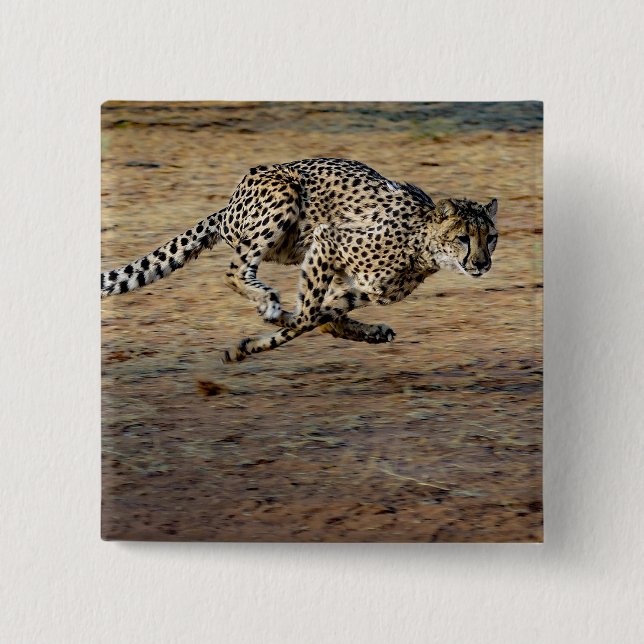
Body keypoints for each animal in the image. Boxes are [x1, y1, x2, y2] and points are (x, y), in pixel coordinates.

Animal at [101, 158, 498, 362]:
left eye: (490, 238)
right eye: (464, 237)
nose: (482, 264)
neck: (423, 244)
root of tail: (228, 205)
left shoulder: (359, 287)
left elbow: (318, 319)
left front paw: (250, 345)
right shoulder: (328, 239)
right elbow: (307, 317)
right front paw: (261, 333)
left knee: (325, 319)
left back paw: (367, 331)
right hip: (285, 195)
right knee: (235, 271)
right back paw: (268, 302)